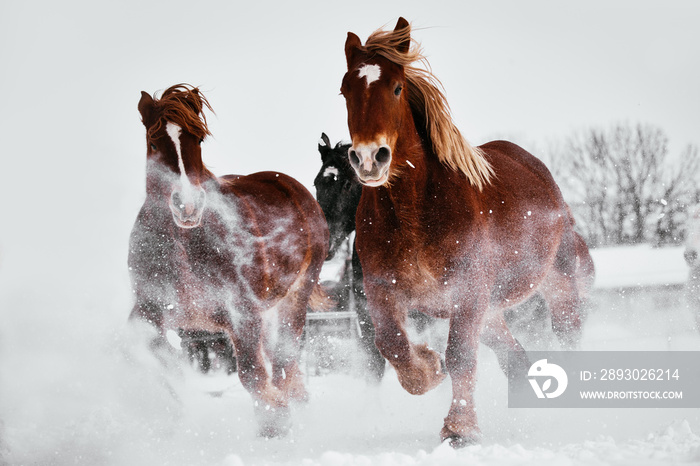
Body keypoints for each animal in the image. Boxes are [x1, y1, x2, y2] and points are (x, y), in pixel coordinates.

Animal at [129, 84, 328, 436]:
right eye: (153, 142)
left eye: (198, 140)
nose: (188, 206)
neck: (185, 244)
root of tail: (293, 187)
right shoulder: (150, 309)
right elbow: (157, 353)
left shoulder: (242, 313)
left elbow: (251, 372)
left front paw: (275, 423)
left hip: (295, 297)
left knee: (284, 360)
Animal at [342, 19, 592, 448]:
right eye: (345, 90)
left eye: (396, 87)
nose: (370, 159)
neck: (415, 213)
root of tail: (540, 171)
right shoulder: (382, 290)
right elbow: (392, 345)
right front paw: (428, 368)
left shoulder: (467, 290)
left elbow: (460, 357)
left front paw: (459, 430)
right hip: (489, 312)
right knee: (515, 358)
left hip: (553, 284)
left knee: (568, 333)